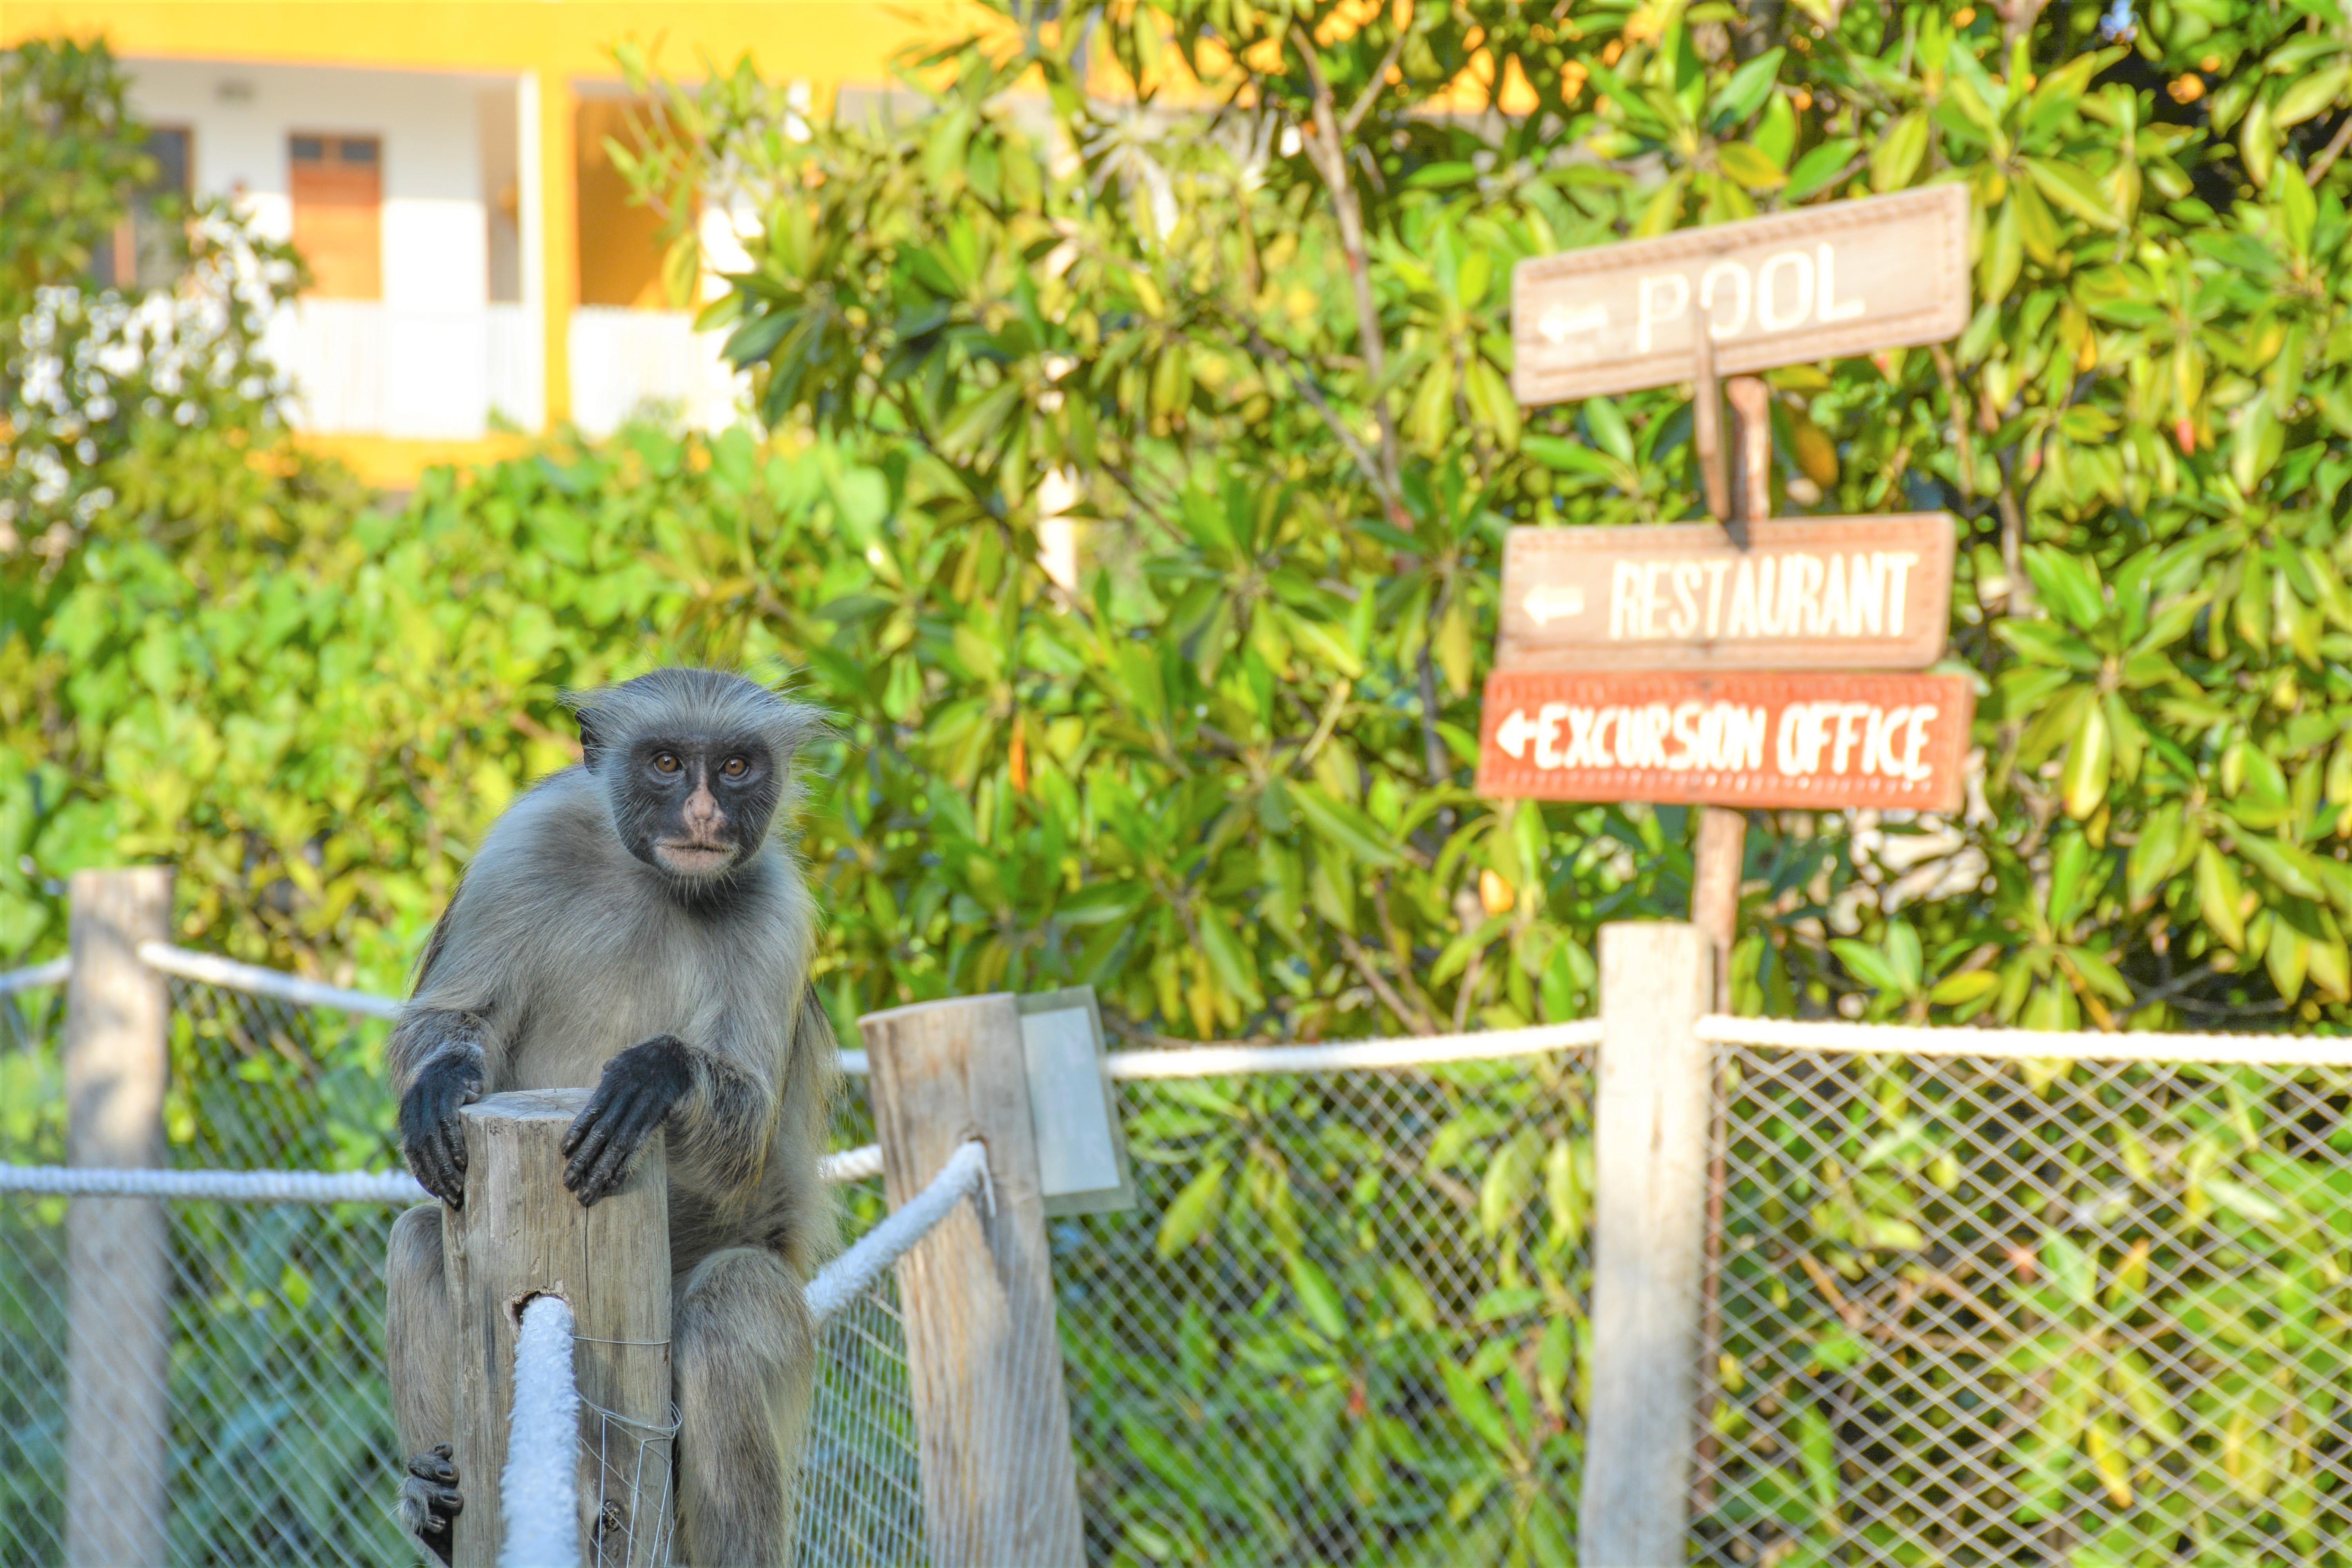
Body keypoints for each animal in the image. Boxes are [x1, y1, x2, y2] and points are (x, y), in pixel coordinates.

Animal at [393, 668, 847, 1561]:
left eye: (735, 766)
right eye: (667, 763)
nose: (703, 814)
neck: (659, 886)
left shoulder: (777, 905)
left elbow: (745, 1132)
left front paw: (656, 1074)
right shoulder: (523, 847)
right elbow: (443, 1022)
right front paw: (441, 1080)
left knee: (731, 1306)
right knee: (424, 1236)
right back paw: (437, 1504)